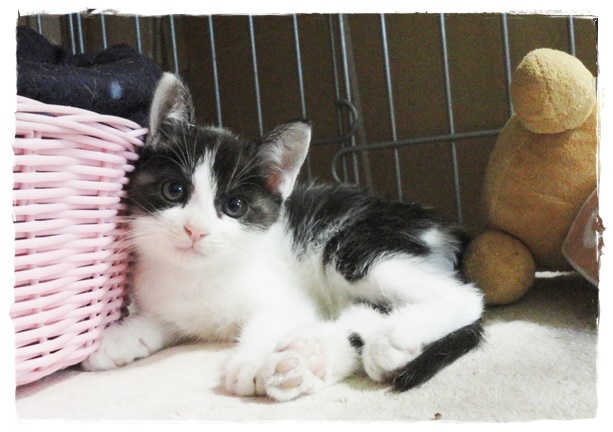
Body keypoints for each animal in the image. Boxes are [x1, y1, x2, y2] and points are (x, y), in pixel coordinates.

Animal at [82, 72, 484, 402]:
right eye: (174, 190)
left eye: (235, 206)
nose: (195, 229)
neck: (198, 277)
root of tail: (446, 228)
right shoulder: (169, 305)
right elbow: (160, 320)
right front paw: (119, 338)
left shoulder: (289, 297)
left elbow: (271, 318)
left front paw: (248, 361)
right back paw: (309, 360)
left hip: (353, 248)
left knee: (465, 297)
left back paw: (392, 336)